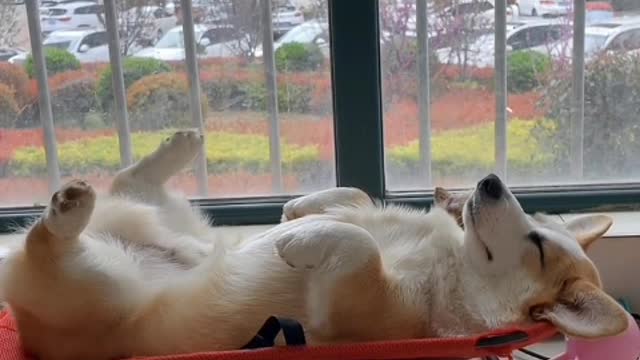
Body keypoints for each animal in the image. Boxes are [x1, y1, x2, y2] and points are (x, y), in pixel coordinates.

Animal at [0, 130, 628, 360]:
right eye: (538, 226)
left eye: (537, 247)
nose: (491, 182)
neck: (451, 259)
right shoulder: (371, 211)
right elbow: (356, 199)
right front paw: (299, 210)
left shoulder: (354, 306)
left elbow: (358, 243)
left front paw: (299, 240)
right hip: (174, 220)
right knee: (130, 185)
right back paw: (180, 146)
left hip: (95, 285)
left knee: (46, 244)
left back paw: (68, 209)